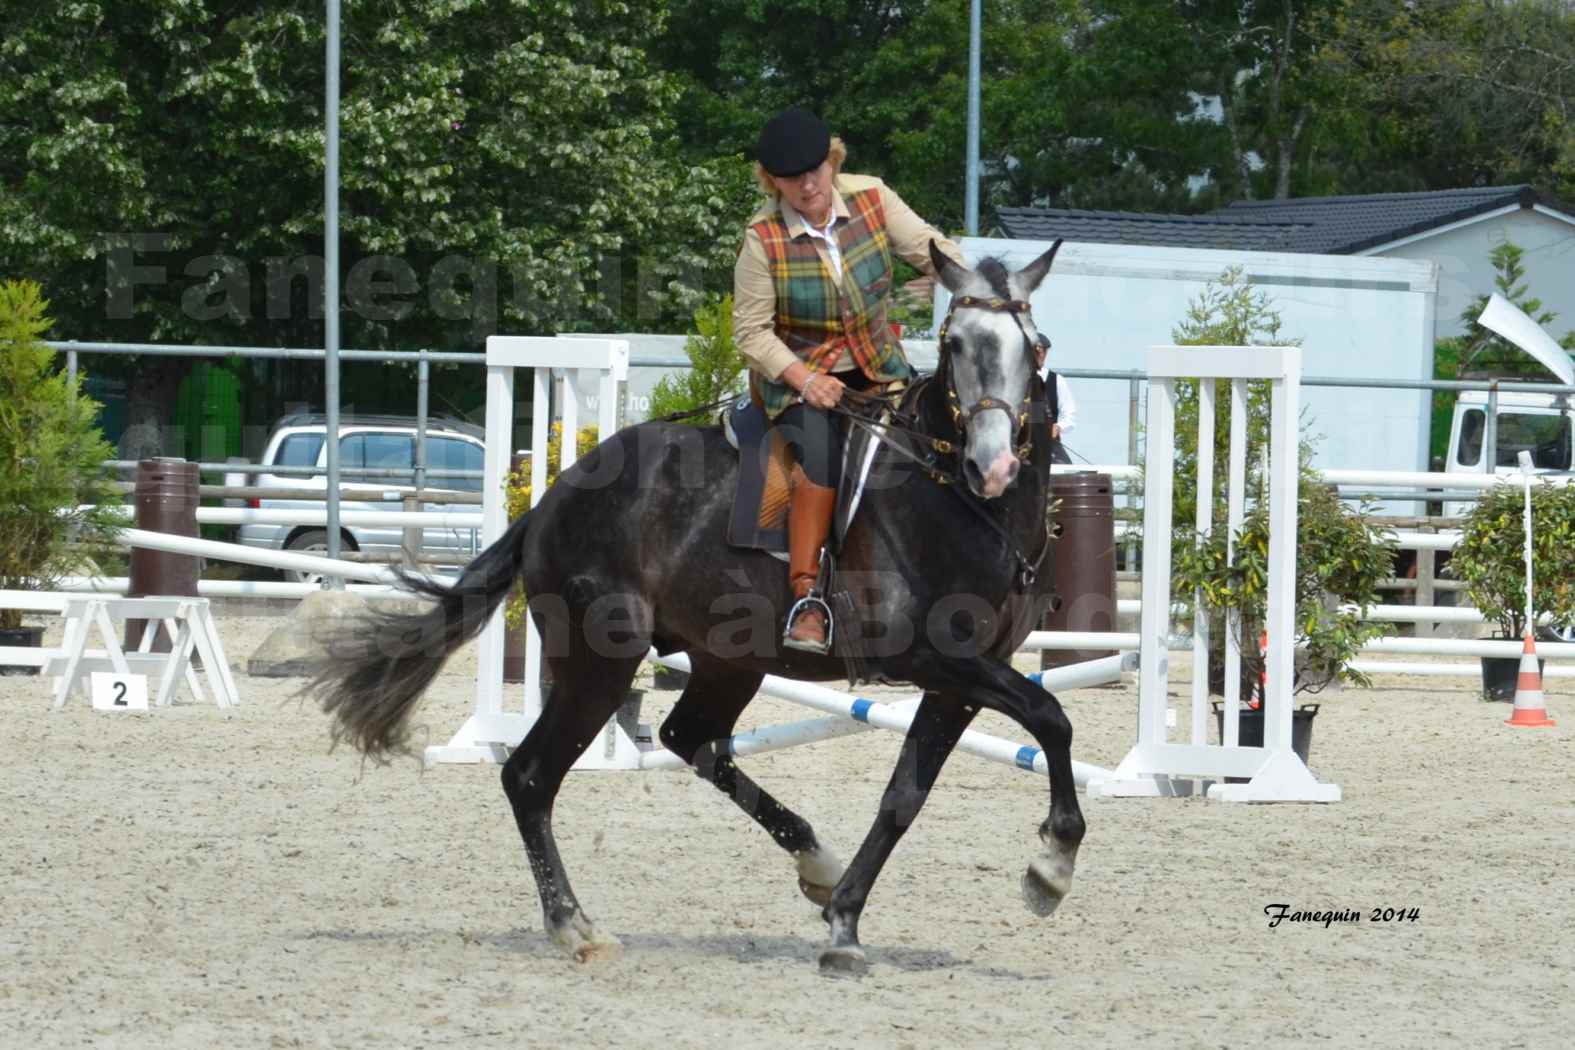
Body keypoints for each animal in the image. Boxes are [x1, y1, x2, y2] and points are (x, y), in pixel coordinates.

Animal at [313, 242, 1089, 982]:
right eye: (954, 342)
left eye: (1034, 344)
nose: (992, 465)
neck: (957, 501)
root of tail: (553, 498)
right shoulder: (931, 657)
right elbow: (1051, 715)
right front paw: (1051, 868)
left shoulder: (961, 679)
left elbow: (905, 796)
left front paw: (843, 922)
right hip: (600, 664)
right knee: (530, 777)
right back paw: (575, 927)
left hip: (726, 660)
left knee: (688, 738)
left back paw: (814, 861)